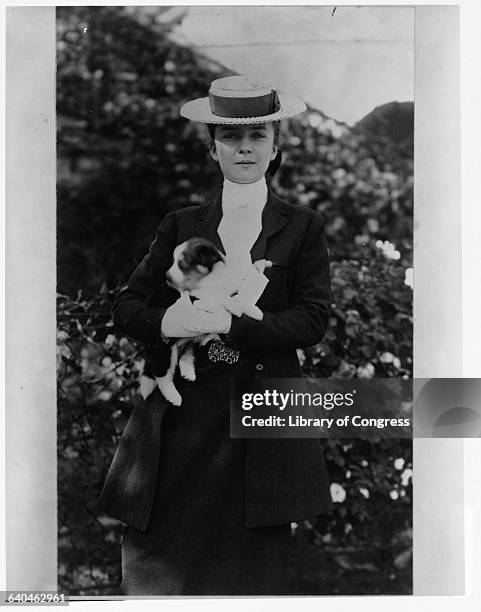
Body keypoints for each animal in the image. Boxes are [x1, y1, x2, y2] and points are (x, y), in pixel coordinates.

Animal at [141, 238, 272, 406]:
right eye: (173, 261)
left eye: (182, 263)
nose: (167, 277)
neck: (209, 280)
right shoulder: (194, 297)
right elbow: (217, 297)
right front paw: (235, 307)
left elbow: (234, 297)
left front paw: (254, 311)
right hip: (163, 348)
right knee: (162, 375)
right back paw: (174, 397)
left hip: (185, 341)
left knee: (186, 352)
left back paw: (188, 372)